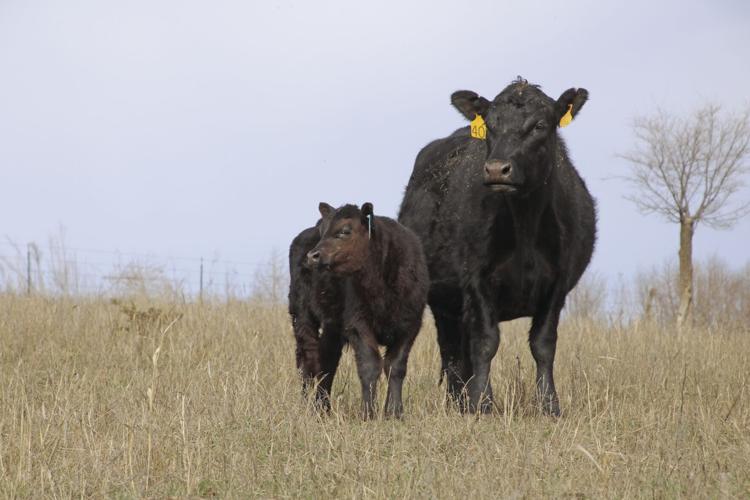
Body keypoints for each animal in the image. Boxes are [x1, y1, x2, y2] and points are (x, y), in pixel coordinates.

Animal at [288, 202, 429, 418]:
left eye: (345, 231)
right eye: (323, 231)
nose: (312, 256)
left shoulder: (410, 324)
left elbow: (395, 366)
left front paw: (394, 413)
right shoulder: (357, 323)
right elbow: (369, 365)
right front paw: (368, 413)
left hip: (333, 324)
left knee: (327, 360)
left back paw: (323, 409)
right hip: (302, 315)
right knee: (309, 361)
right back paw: (309, 407)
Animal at [398, 78, 596, 416]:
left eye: (540, 125)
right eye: (490, 125)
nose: (496, 169)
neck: (525, 224)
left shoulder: (557, 284)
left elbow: (543, 344)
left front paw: (549, 406)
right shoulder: (476, 281)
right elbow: (486, 343)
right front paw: (483, 403)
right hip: (443, 300)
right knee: (453, 353)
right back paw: (460, 402)